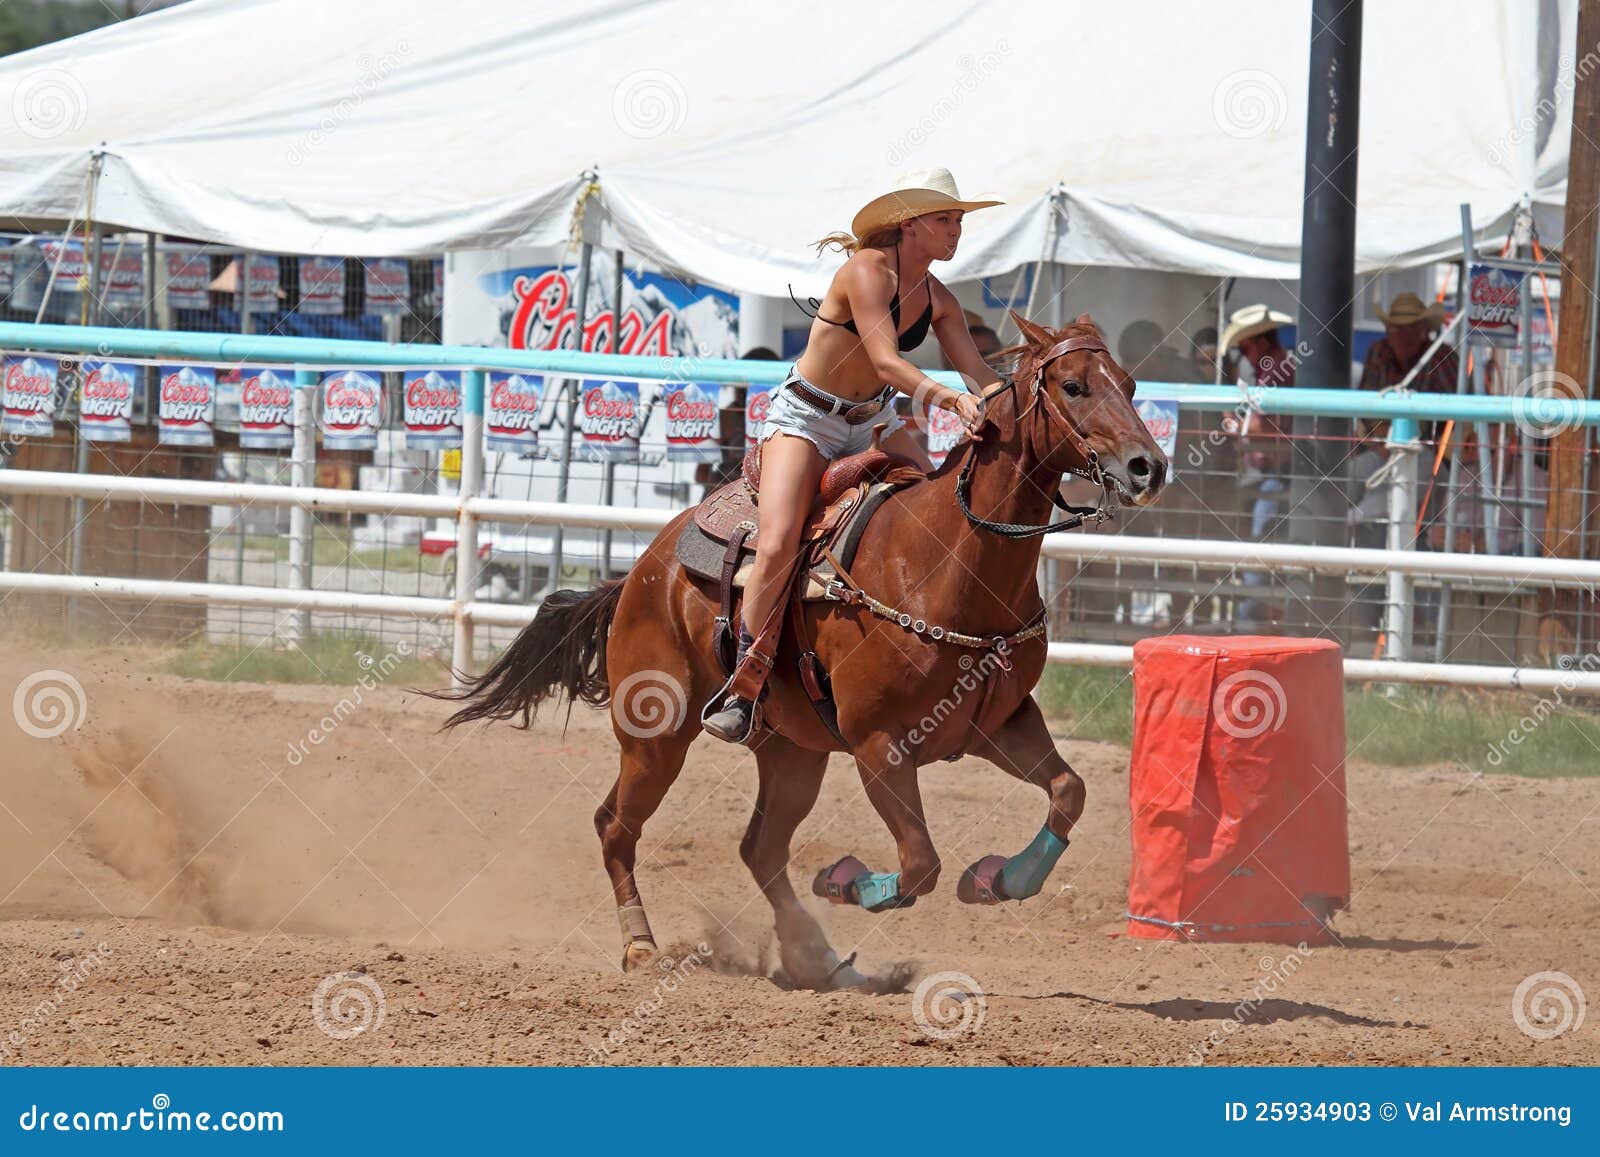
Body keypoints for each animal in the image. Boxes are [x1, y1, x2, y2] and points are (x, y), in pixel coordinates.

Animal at [432, 315, 1171, 985]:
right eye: (1073, 385)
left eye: (1131, 384)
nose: (1149, 465)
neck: (947, 563)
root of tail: (641, 571)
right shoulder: (879, 745)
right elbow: (918, 863)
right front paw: (843, 880)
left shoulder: (1001, 723)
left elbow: (1068, 791)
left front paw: (997, 878)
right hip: (656, 736)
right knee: (616, 824)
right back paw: (642, 947)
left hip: (794, 753)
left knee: (759, 849)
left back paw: (816, 959)